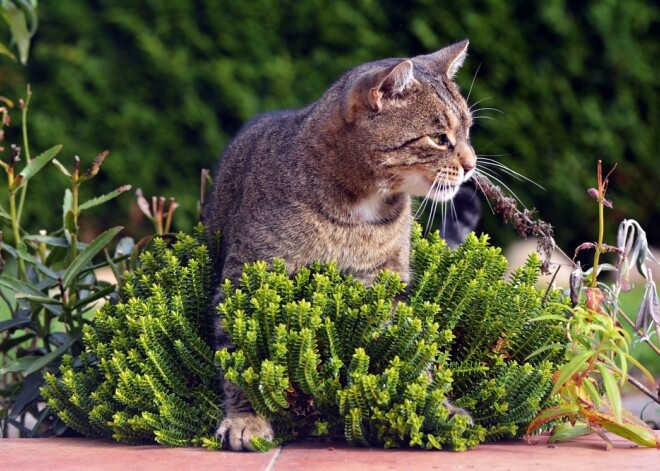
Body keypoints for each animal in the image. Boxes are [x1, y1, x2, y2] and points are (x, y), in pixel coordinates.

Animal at [204, 39, 476, 450]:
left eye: (468, 131)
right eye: (440, 138)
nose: (472, 164)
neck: (359, 213)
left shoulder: (385, 283)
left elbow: (411, 352)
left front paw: (434, 407)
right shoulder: (248, 278)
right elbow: (243, 357)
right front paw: (245, 418)